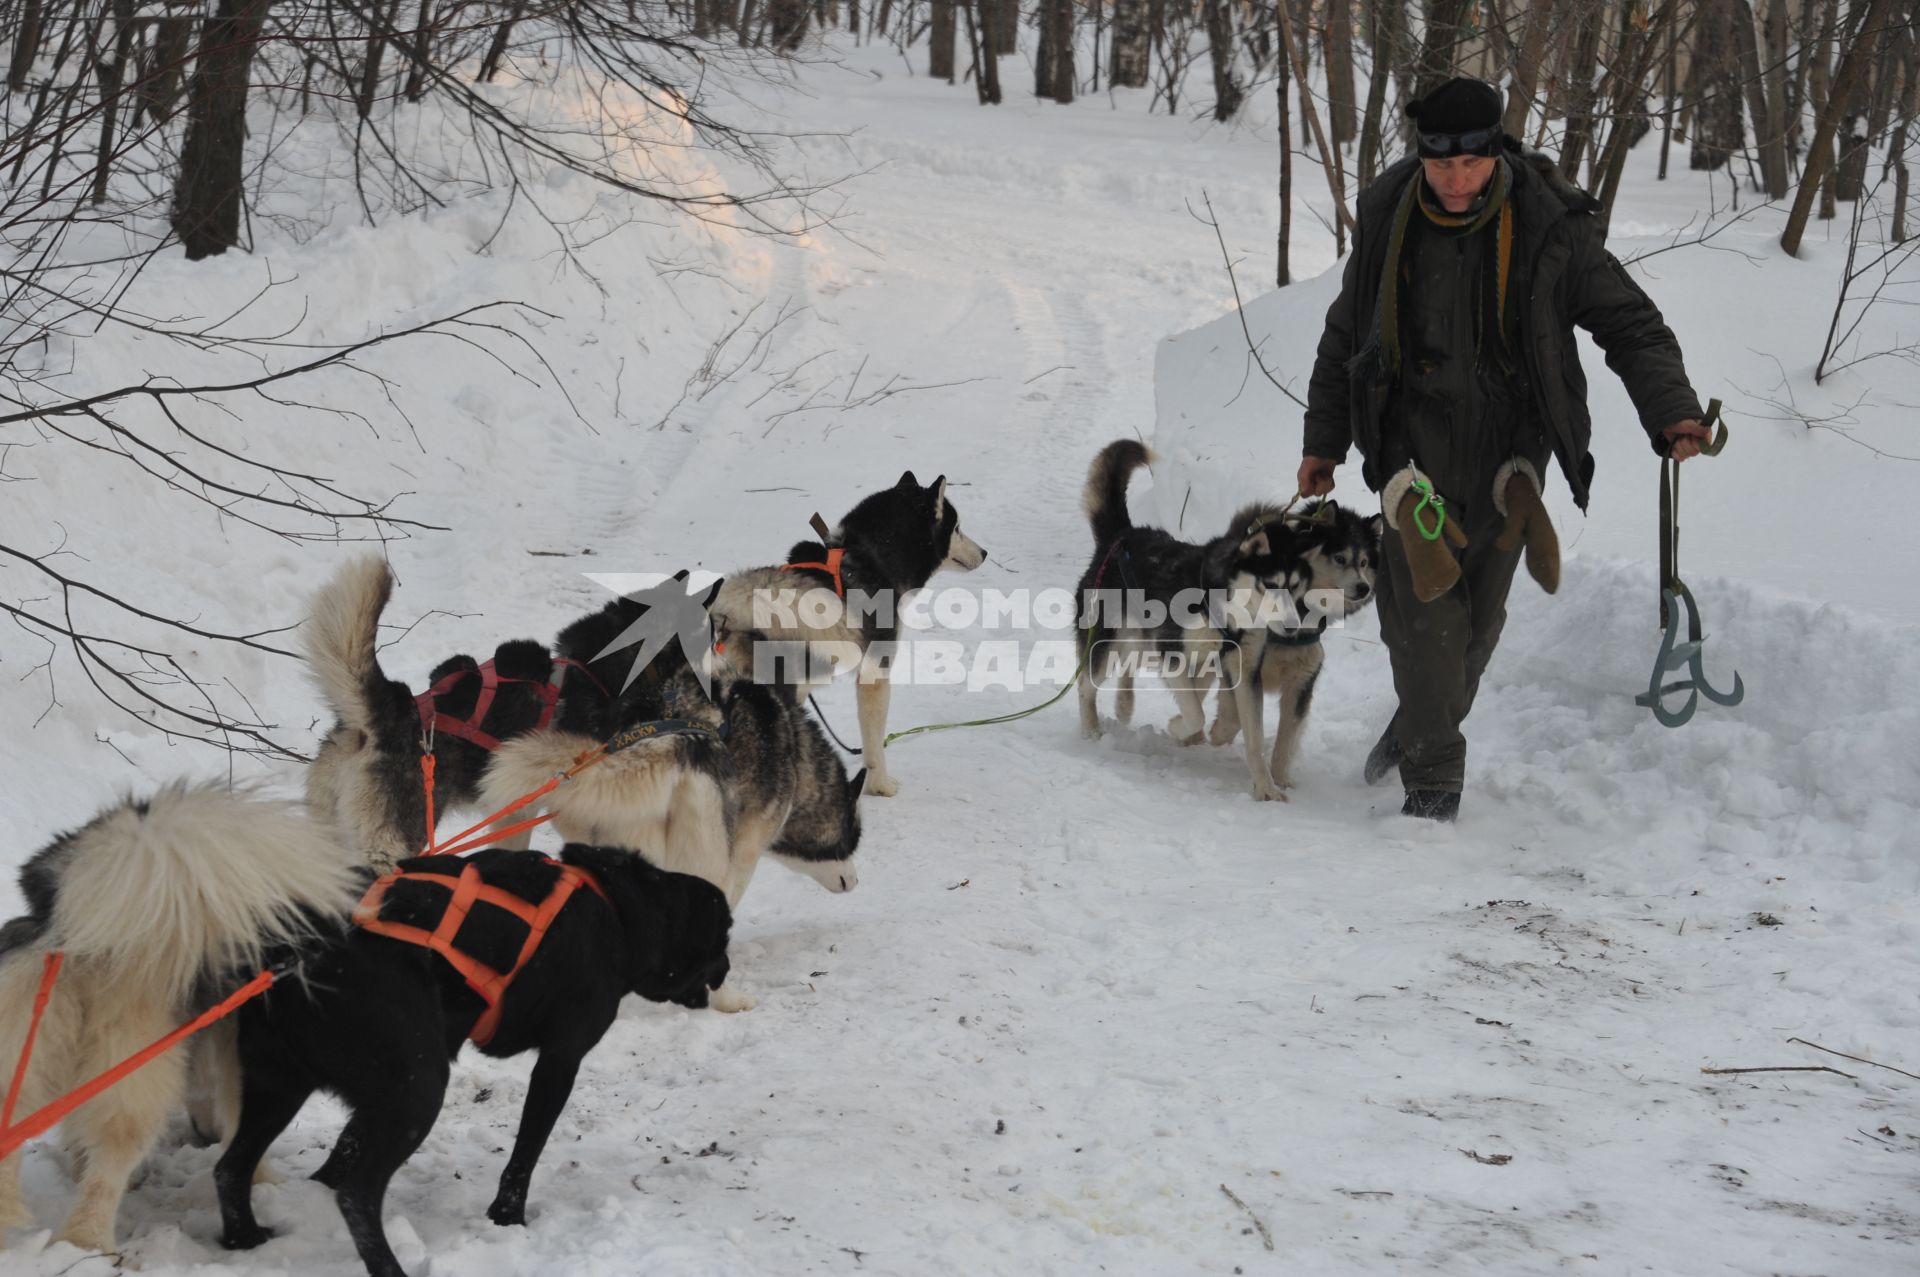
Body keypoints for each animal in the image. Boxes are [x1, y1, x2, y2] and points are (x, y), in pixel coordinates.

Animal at [214, 844, 729, 1275]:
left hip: (283, 1087)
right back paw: (391, 1269)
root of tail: (295, 952)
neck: (620, 910)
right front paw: (508, 1216)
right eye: (724, 936)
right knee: (356, 1198)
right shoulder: (560, 1059)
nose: (725, 971)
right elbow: (525, 1153)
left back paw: (244, 1239)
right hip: (419, 1088)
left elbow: (343, 1146)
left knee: (230, 1169)